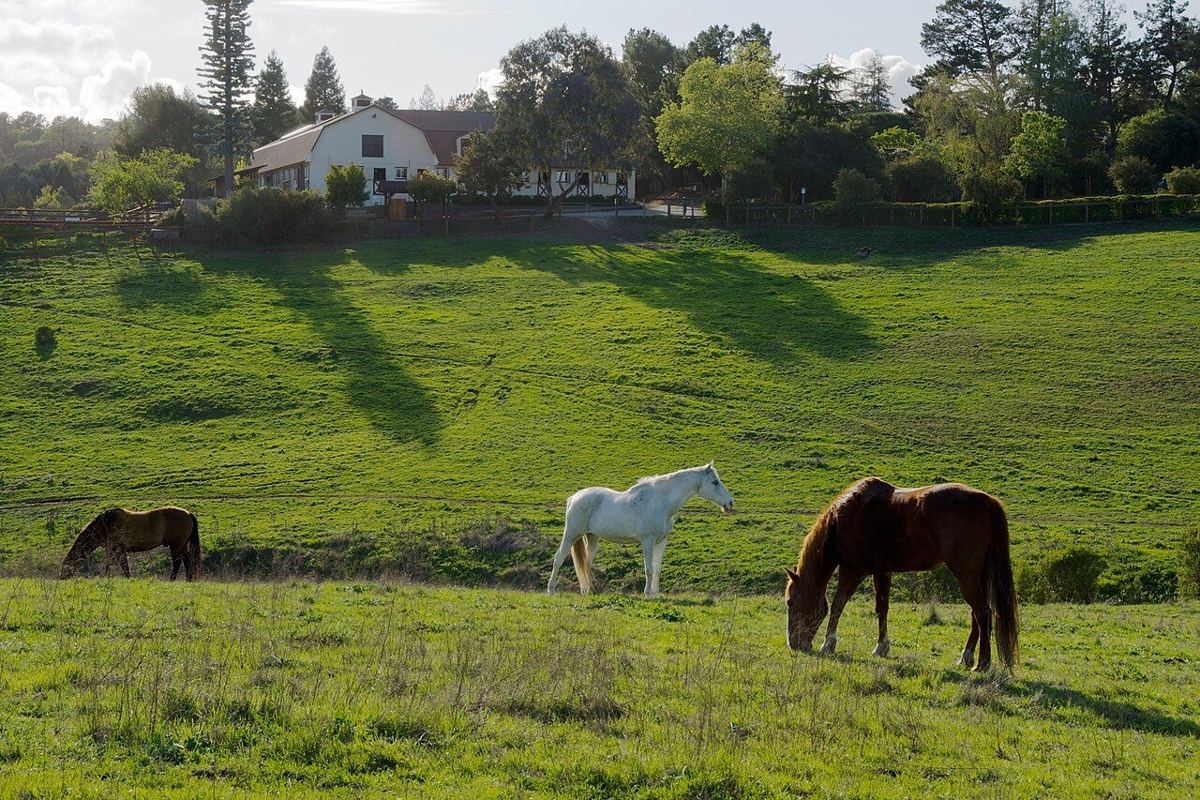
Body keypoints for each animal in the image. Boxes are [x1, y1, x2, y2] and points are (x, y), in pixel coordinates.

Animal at [60, 507, 202, 581]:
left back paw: (172, 579)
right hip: (182, 545)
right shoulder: (116, 550)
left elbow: (116, 565)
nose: (61, 577)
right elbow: (120, 564)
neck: (105, 524)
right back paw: (188, 579)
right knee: (188, 560)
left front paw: (109, 577)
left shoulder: (116, 549)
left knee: (177, 562)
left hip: (176, 546)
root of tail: (188, 513)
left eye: (66, 566)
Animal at [548, 463, 734, 597]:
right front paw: (647, 593)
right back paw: (551, 590)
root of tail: (574, 497)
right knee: (558, 559)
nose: (730, 503)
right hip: (571, 534)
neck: (660, 502)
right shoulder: (648, 541)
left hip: (592, 537)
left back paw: (588, 591)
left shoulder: (661, 541)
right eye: (715, 482)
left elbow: (657, 568)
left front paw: (655, 594)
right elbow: (649, 569)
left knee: (586, 563)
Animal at [784, 477, 1018, 672]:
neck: (845, 518)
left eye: (790, 602)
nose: (793, 644)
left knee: (982, 612)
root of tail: (986, 501)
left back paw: (982, 664)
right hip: (979, 576)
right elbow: (882, 608)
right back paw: (966, 657)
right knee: (976, 614)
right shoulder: (882, 571)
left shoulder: (852, 570)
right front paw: (881, 647)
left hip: (966, 575)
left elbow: (838, 604)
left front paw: (828, 643)